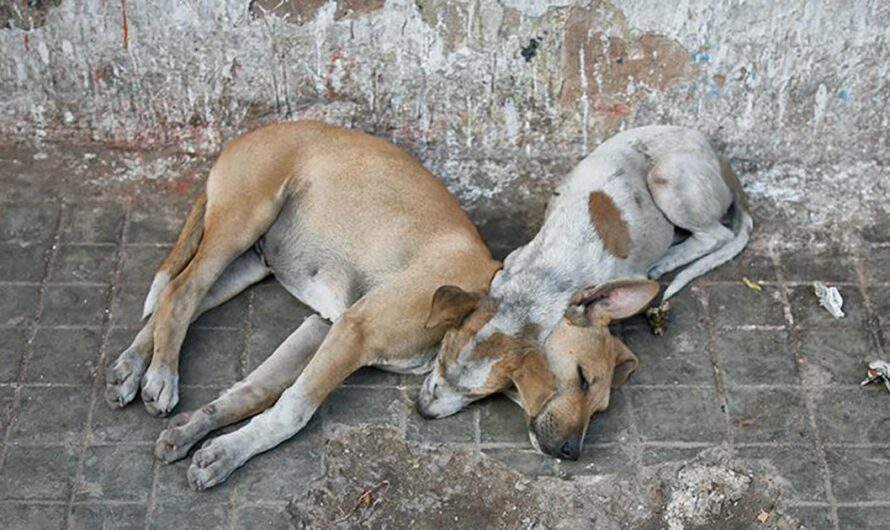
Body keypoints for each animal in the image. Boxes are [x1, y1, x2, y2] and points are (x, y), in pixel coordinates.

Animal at [103, 120, 500, 486]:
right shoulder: (354, 332)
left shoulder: (322, 329)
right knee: (180, 291)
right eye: (449, 366)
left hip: (247, 266)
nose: (425, 412)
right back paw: (161, 376)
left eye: (481, 393)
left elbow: (252, 393)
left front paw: (199, 434)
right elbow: (291, 413)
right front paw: (228, 452)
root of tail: (248, 136)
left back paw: (130, 368)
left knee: (176, 302)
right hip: (241, 222)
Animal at [420, 126, 752, 460]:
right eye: (441, 360)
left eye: (479, 393)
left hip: (666, 179)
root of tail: (718, 157)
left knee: (717, 235)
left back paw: (669, 259)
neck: (546, 280)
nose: (423, 411)